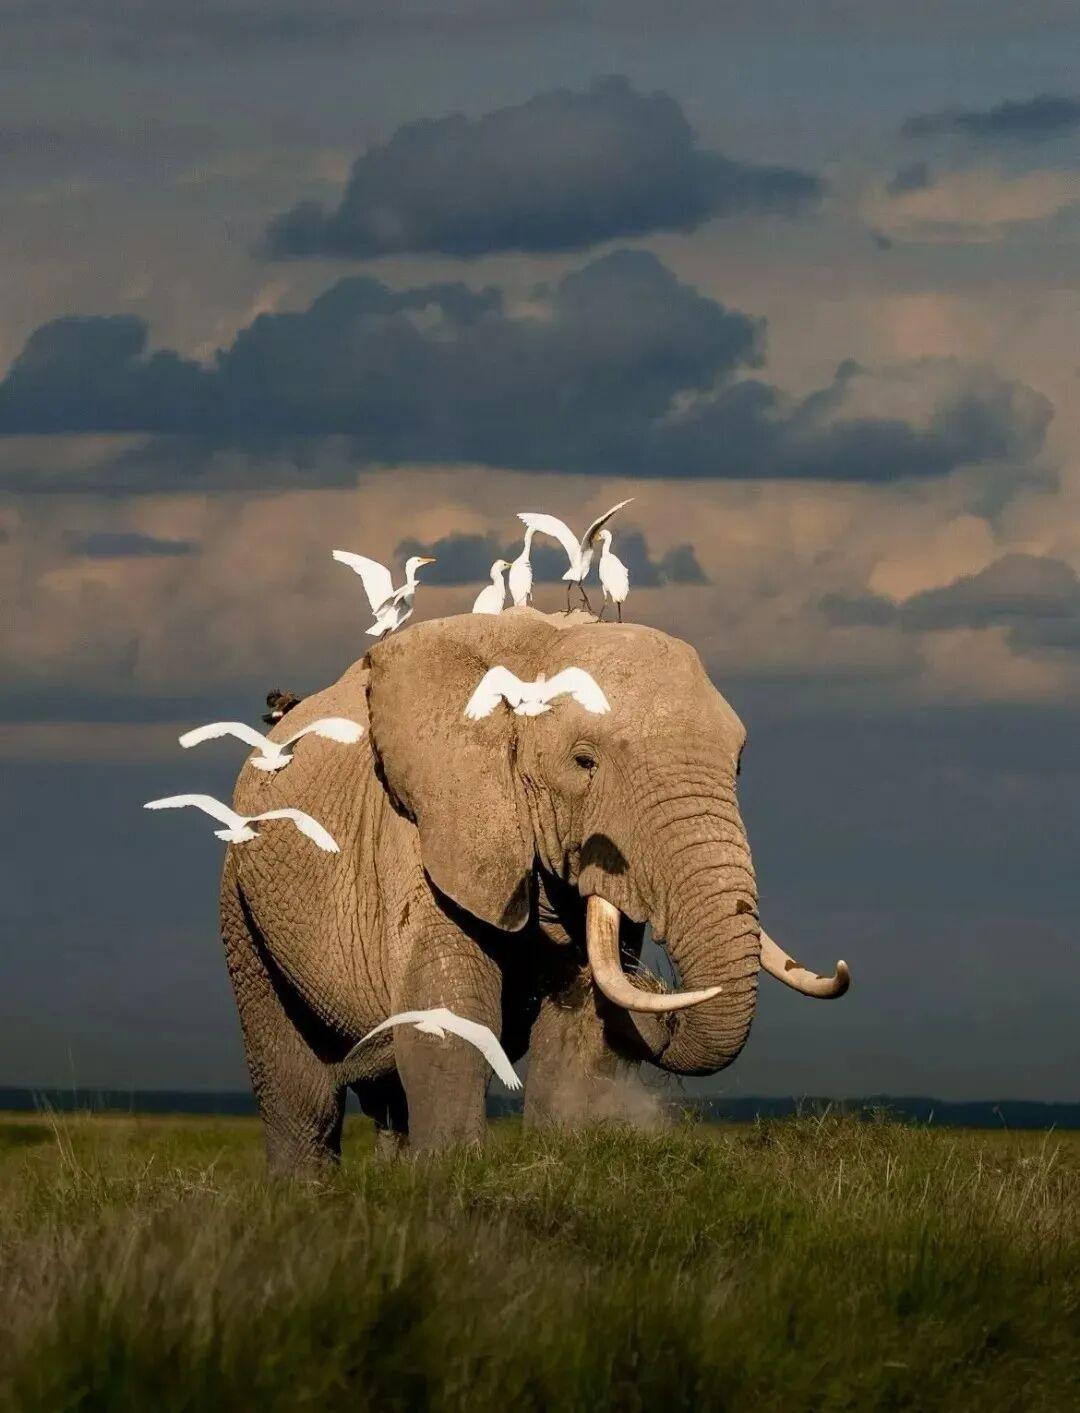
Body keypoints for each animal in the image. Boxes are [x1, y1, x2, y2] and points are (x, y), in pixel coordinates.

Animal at [220, 607, 849, 1173]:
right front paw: (449, 1179)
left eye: (737, 765)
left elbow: (578, 1027)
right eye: (584, 761)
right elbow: (449, 1015)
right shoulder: (427, 830)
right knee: (300, 1091)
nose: (652, 978)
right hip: (242, 901)